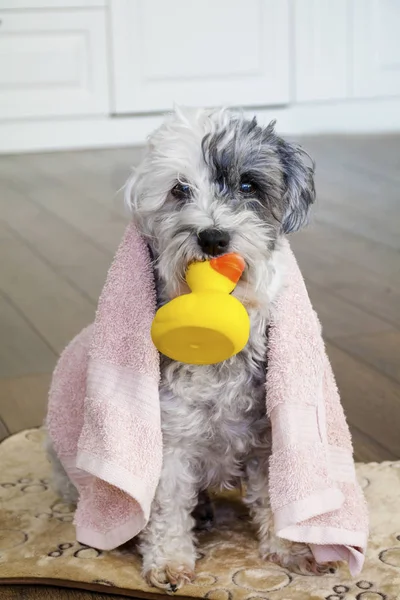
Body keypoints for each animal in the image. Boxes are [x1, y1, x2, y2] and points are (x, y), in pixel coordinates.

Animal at [46, 106, 334, 592]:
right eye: (179, 190)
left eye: (247, 186)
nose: (213, 238)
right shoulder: (169, 440)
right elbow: (166, 506)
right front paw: (168, 561)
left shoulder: (269, 440)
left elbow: (276, 497)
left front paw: (289, 550)